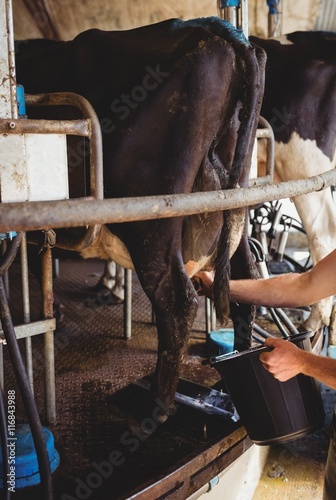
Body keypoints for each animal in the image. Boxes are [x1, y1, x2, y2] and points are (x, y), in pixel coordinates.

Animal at [16, 17, 266, 420]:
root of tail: (213, 29)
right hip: (236, 212)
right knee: (247, 280)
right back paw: (237, 368)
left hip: (154, 222)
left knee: (177, 301)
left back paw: (158, 406)